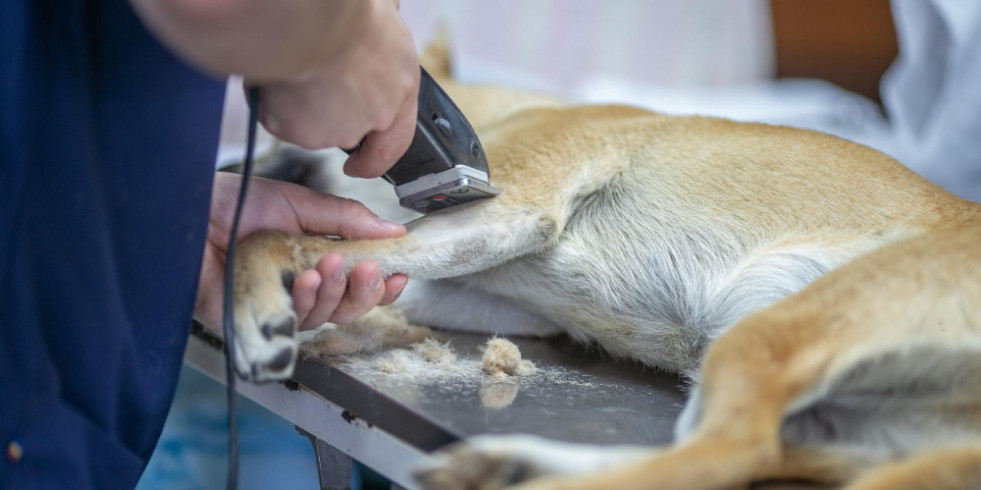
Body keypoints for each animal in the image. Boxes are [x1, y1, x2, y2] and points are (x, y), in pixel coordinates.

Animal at [228, 40, 980, 488]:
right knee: (712, 459)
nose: (227, 168)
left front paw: (252, 308)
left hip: (770, 332)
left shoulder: (510, 210)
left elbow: (268, 237)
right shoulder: (483, 292)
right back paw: (509, 461)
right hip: (834, 418)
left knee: (729, 452)